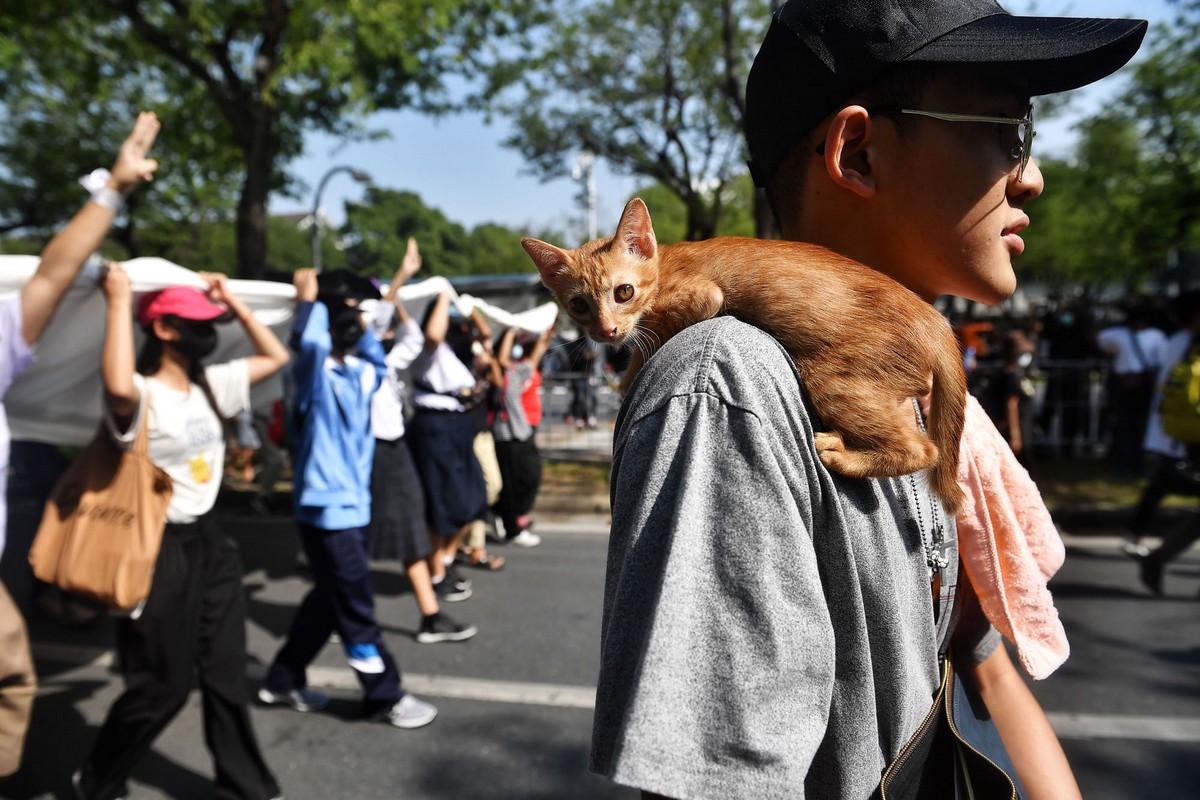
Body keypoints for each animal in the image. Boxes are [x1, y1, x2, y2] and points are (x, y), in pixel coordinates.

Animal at [523, 196, 964, 515]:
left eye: (623, 291)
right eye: (578, 305)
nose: (605, 331)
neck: (663, 265)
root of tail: (937, 323)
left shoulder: (706, 296)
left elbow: (654, 337)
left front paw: (629, 374)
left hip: (834, 378)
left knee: (925, 450)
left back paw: (842, 456)